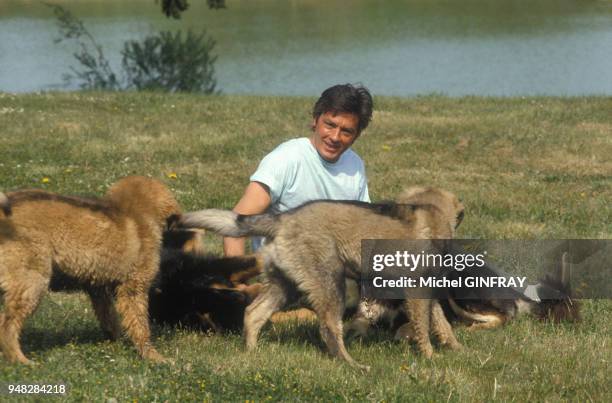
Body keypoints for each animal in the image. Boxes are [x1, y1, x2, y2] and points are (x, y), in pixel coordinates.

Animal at [0, 175, 182, 364]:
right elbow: (140, 324)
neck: (132, 211)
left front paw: (116, 342)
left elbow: (109, 317)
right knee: (7, 324)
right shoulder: (133, 287)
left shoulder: (98, 287)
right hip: (32, 280)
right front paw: (154, 357)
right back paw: (21, 360)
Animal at [180, 188, 464, 370]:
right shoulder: (416, 291)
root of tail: (282, 219)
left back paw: (251, 352)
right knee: (329, 329)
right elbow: (424, 327)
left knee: (253, 313)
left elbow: (440, 322)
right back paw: (352, 365)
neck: (434, 212)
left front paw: (455, 348)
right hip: (330, 284)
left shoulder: (426, 293)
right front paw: (429, 356)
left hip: (285, 286)